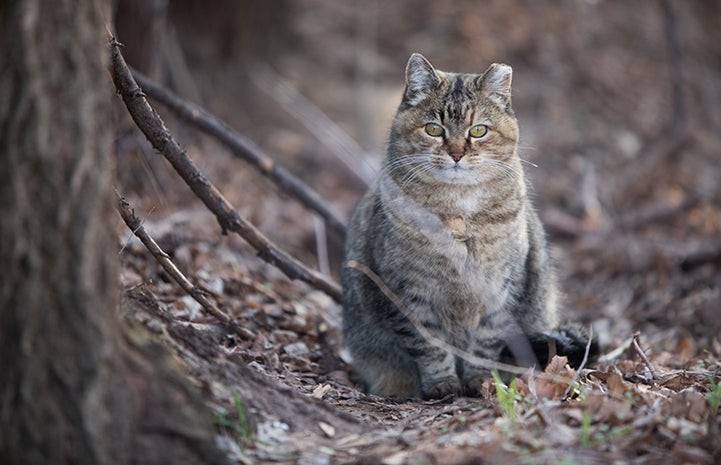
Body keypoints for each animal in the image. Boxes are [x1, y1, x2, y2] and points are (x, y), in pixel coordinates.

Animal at [340, 52, 592, 396]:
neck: (459, 210)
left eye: (479, 130)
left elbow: (486, 341)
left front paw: (481, 380)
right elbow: (430, 345)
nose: (457, 153)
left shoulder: (501, 287)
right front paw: (442, 383)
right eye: (434, 129)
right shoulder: (409, 292)